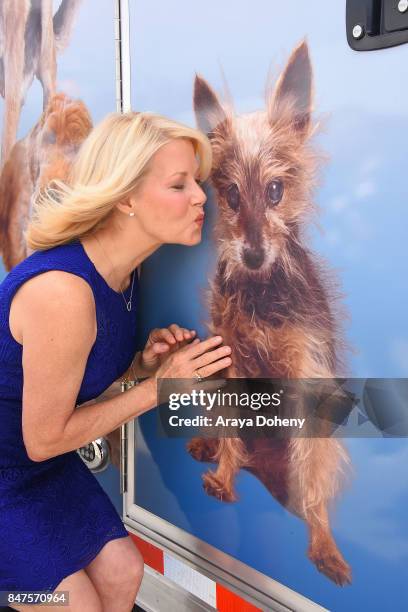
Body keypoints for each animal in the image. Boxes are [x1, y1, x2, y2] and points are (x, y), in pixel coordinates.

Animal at [188, 40, 350, 584]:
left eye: (276, 191)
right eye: (232, 195)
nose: (254, 254)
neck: (260, 290)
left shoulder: (305, 372)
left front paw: (321, 542)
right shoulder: (231, 359)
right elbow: (233, 426)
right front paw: (221, 474)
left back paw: (322, 540)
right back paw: (213, 450)